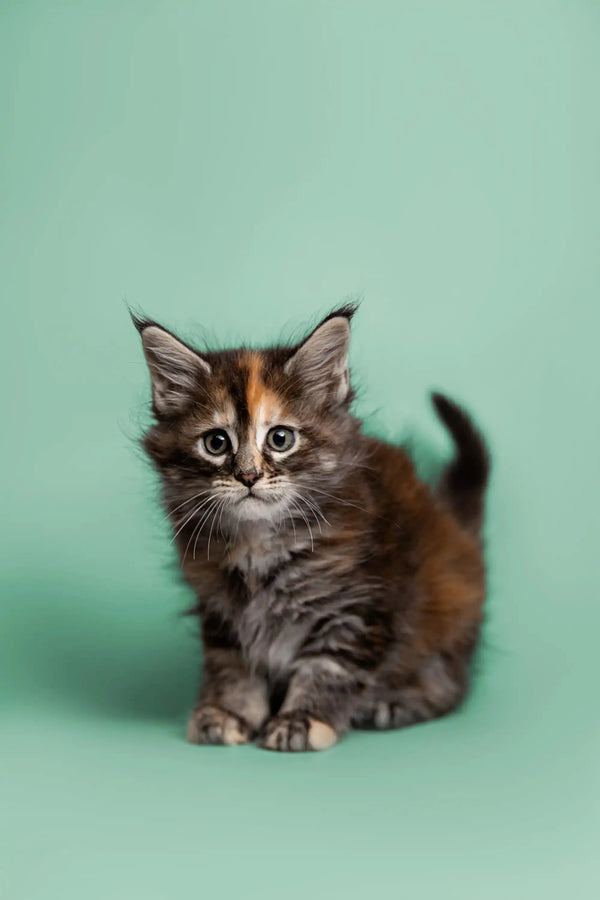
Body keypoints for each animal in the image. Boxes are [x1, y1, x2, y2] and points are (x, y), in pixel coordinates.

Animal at [131, 306, 488, 748]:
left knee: (451, 682)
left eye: (280, 438)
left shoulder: (358, 608)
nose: (248, 476)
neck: (259, 542)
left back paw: (397, 702)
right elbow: (232, 668)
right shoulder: (222, 610)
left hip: (448, 607)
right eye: (216, 443)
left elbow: (328, 668)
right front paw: (229, 712)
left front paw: (302, 720)